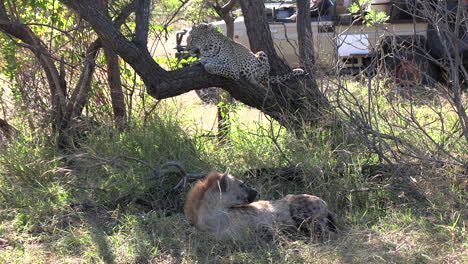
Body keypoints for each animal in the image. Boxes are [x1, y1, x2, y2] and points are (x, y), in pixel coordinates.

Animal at [184, 170, 336, 240]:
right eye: (242, 184)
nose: (256, 191)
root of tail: (325, 203)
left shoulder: (260, 220)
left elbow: (268, 229)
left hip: (303, 212)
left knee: (325, 232)